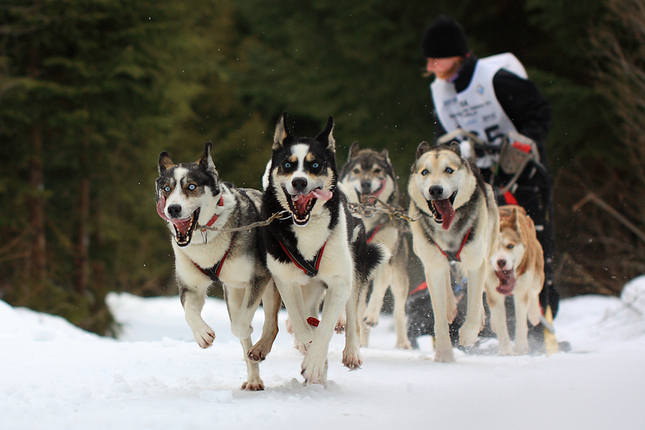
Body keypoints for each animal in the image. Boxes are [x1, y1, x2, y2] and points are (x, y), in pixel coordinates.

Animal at [155, 144, 280, 390]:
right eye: (166, 188)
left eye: (191, 186)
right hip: (233, 293)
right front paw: (202, 334)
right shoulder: (191, 287)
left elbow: (239, 326)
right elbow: (189, 312)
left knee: (272, 323)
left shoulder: (258, 277)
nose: (173, 209)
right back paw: (253, 379)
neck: (206, 234)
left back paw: (262, 348)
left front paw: (247, 330)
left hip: (271, 284)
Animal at [262, 112, 388, 384]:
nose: (299, 182)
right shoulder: (285, 279)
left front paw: (315, 364)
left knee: (351, 316)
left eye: (315, 165)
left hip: (354, 268)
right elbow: (300, 320)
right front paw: (306, 344)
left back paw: (351, 352)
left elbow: (328, 324)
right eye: (287, 165)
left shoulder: (340, 281)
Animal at [340, 142, 410, 350]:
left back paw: (402, 343)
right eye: (356, 171)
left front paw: (371, 315)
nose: (365, 184)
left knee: (398, 310)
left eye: (377, 170)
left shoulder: (386, 260)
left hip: (399, 278)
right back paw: (361, 340)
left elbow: (378, 292)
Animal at [408, 142, 498, 362]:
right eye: (425, 172)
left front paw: (468, 334)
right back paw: (450, 306)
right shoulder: (433, 265)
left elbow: (474, 304)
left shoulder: (476, 262)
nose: (435, 189)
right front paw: (444, 355)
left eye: (449, 170)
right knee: (447, 277)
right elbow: (439, 317)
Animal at [484, 205, 544, 356]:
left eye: (510, 246)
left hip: (537, 273)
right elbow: (501, 321)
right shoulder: (494, 292)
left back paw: (534, 315)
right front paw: (506, 351)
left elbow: (521, 320)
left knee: (534, 292)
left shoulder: (521, 292)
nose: (501, 261)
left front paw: (521, 348)